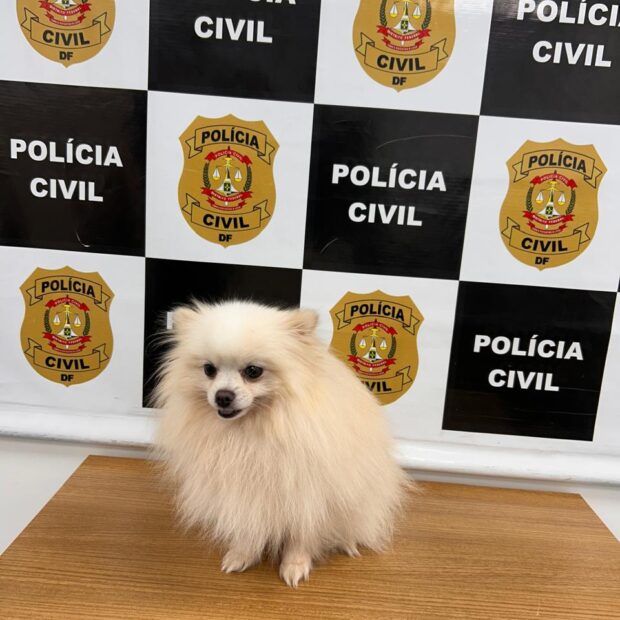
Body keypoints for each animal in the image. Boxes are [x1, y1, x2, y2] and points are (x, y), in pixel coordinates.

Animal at [153, 300, 408, 587]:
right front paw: (242, 554)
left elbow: (301, 535)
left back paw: (348, 542)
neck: (252, 431)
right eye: (209, 370)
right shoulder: (245, 492)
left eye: (253, 371)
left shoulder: (308, 493)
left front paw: (295, 565)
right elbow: (248, 526)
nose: (222, 396)